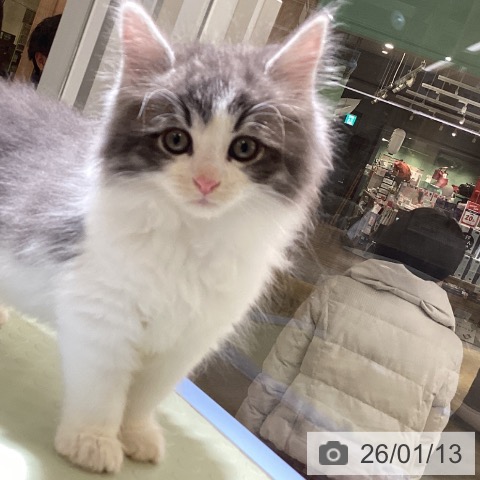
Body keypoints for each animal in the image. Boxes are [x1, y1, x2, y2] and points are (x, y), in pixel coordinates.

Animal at [0, 1, 332, 473]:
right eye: (176, 139)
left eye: (244, 148)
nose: (206, 182)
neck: (189, 238)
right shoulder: (102, 316)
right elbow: (103, 389)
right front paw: (92, 441)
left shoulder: (188, 340)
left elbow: (145, 396)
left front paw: (135, 435)